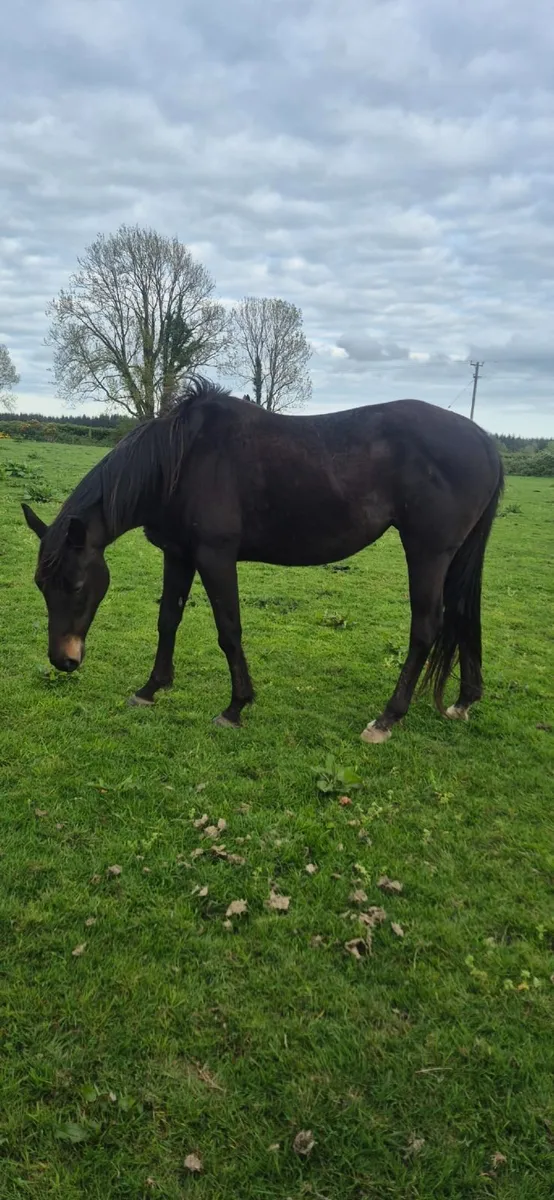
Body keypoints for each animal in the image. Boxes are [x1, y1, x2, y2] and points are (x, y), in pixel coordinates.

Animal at [22, 378, 503, 743]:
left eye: (76, 585)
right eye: (41, 585)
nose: (63, 661)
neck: (182, 460)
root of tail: (483, 439)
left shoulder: (215, 556)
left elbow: (229, 630)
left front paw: (235, 706)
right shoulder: (178, 554)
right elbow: (168, 620)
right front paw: (151, 688)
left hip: (427, 552)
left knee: (426, 627)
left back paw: (387, 718)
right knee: (463, 614)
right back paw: (464, 700)